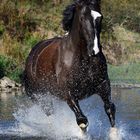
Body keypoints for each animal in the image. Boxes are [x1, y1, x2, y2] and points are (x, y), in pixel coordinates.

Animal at [24, 0, 116, 131]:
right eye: (82, 18)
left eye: (100, 17)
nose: (95, 50)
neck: (84, 59)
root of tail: (32, 54)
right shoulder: (69, 94)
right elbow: (82, 120)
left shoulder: (103, 85)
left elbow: (110, 109)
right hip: (40, 96)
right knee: (49, 112)